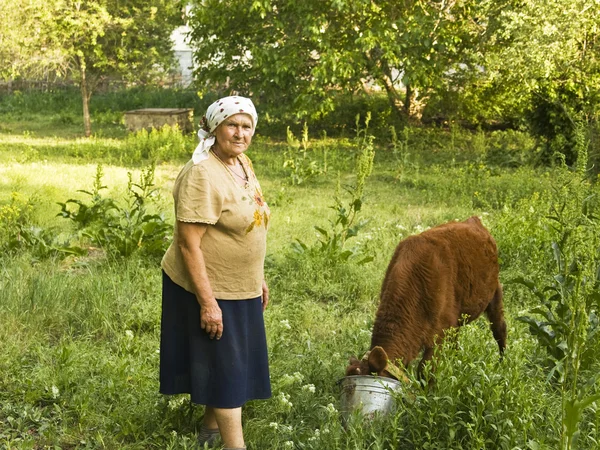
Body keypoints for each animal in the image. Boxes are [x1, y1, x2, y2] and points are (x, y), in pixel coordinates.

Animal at [346, 216, 506, 382]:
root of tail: (474, 220)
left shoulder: (441, 331)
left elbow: (426, 370)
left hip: (495, 292)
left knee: (500, 328)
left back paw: (501, 364)